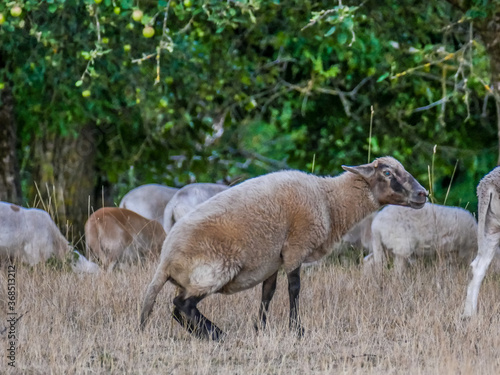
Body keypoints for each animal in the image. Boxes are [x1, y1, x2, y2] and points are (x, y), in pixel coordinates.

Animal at [140, 157, 426, 342]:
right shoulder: (295, 248)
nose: (423, 194)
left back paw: (207, 334)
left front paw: (261, 329)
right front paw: (297, 330)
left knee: (178, 310)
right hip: (217, 268)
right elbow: (294, 288)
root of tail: (165, 260)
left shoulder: (272, 260)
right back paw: (218, 335)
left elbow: (268, 293)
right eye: (387, 174)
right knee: (182, 304)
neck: (329, 200)